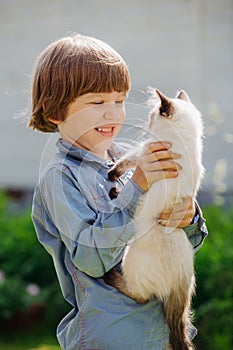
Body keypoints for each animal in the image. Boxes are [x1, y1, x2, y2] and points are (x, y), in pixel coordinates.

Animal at [104, 88, 204, 350]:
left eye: (151, 117)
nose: (147, 124)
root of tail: (180, 281)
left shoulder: (144, 151)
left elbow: (125, 162)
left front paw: (112, 174)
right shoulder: (146, 153)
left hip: (129, 258)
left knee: (141, 296)